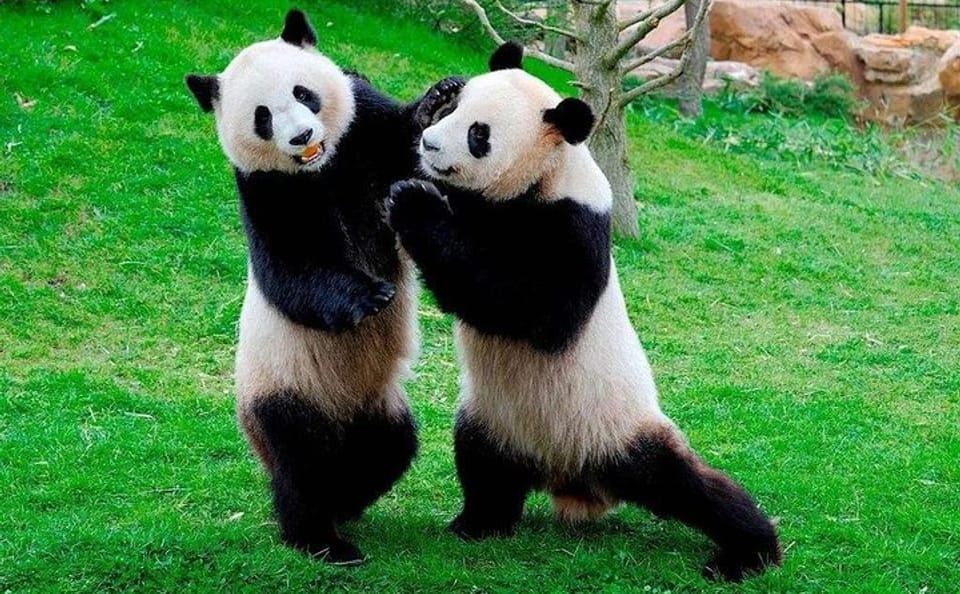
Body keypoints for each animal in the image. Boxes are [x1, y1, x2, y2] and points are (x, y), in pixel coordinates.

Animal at [184, 10, 456, 565]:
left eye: (304, 93)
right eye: (263, 117)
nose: (302, 136)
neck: (323, 166)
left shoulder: (363, 128)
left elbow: (407, 151)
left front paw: (438, 101)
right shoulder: (266, 188)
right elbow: (291, 268)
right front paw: (371, 297)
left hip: (378, 405)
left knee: (389, 447)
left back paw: (345, 502)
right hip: (283, 385)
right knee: (300, 462)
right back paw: (319, 536)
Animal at [387, 42, 783, 581]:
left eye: (478, 134)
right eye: (454, 111)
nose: (430, 145)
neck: (541, 176)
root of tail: (572, 477)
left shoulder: (575, 224)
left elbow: (537, 310)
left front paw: (414, 204)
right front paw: (427, 105)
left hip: (615, 427)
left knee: (690, 486)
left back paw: (748, 551)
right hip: (495, 418)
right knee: (483, 467)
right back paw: (478, 523)